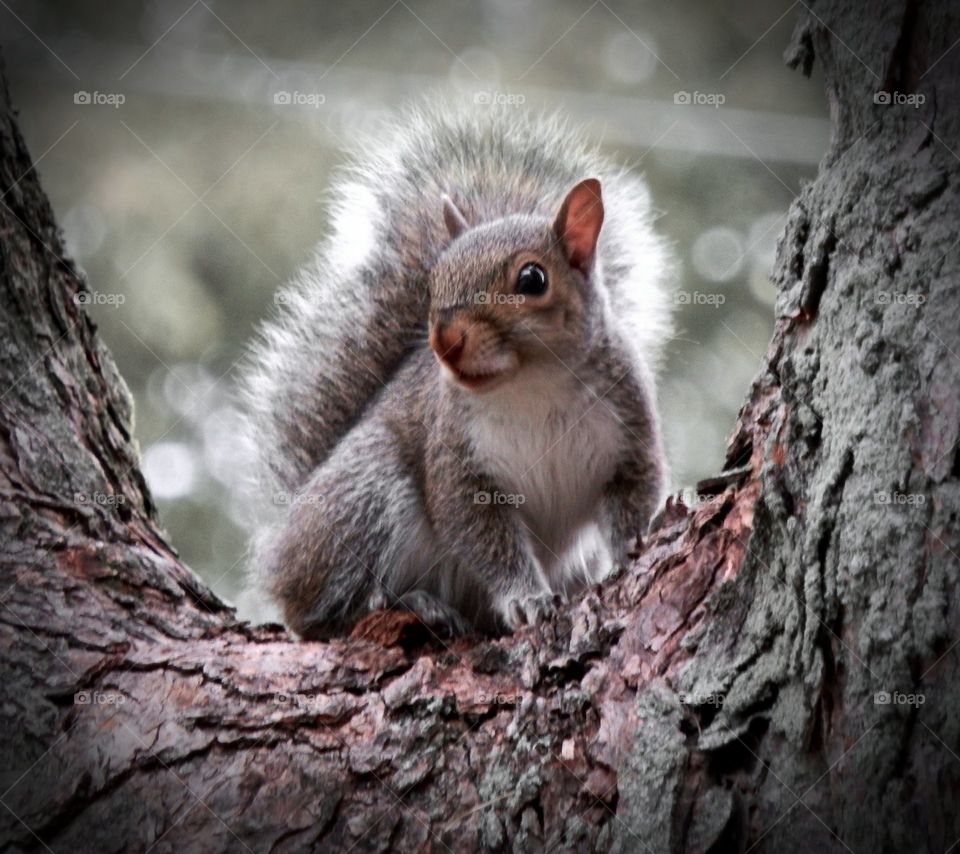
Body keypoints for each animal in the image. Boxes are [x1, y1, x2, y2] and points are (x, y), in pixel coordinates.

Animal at [240, 104, 672, 640]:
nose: (444, 341)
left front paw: (633, 546)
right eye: (435, 280)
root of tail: (287, 536)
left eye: (533, 279)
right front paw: (526, 598)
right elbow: (482, 536)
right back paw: (407, 602)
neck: (533, 386)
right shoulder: (455, 460)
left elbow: (634, 494)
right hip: (367, 488)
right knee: (317, 616)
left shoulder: (629, 428)